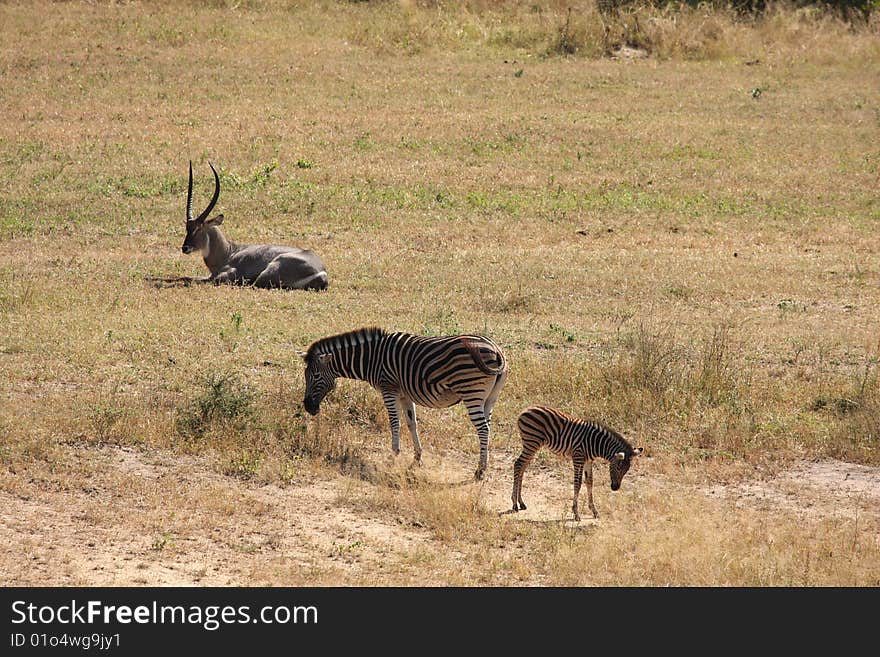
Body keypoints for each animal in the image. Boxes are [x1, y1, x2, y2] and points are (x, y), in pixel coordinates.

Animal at [153, 161, 328, 290]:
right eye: (187, 227)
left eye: (199, 228)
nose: (185, 248)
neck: (229, 251)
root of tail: (321, 273)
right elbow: (184, 276)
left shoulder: (221, 276)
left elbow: (189, 279)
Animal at [302, 326, 508, 476]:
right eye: (306, 376)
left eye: (316, 376)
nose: (308, 407)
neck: (372, 358)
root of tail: (496, 350)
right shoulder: (405, 395)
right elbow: (411, 423)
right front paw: (417, 457)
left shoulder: (389, 390)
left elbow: (395, 423)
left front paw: (394, 455)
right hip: (490, 398)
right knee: (487, 427)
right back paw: (483, 465)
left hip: (471, 391)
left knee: (483, 429)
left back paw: (480, 470)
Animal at [512, 404, 644, 516]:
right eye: (618, 467)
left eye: (627, 470)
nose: (615, 488)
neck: (595, 443)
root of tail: (526, 409)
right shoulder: (578, 457)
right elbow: (578, 482)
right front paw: (576, 513)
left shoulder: (588, 461)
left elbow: (590, 482)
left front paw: (594, 511)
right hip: (532, 442)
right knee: (518, 464)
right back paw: (514, 504)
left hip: (532, 444)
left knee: (522, 466)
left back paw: (521, 503)